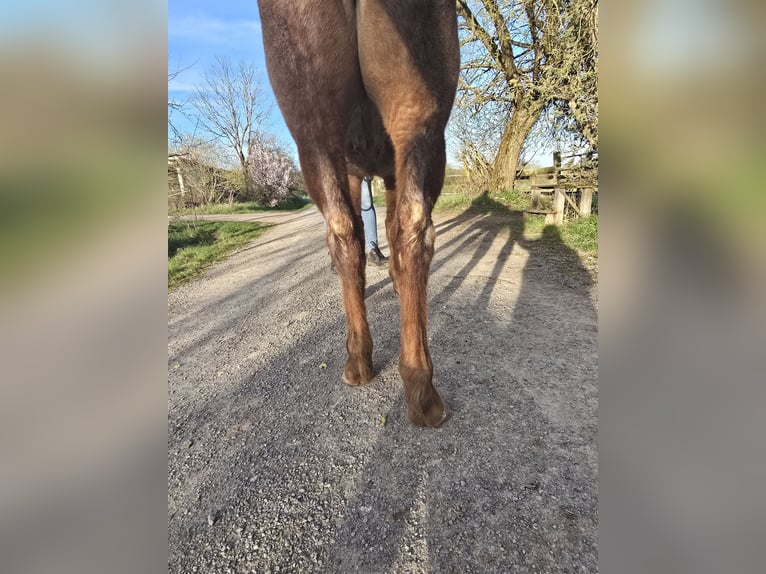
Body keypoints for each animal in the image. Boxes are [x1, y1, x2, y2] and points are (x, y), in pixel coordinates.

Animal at [258, 0, 459, 426]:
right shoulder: (386, 172)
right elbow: (389, 226)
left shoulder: (356, 174)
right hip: (417, 120)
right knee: (412, 228)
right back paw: (419, 386)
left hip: (315, 133)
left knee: (345, 232)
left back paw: (362, 362)